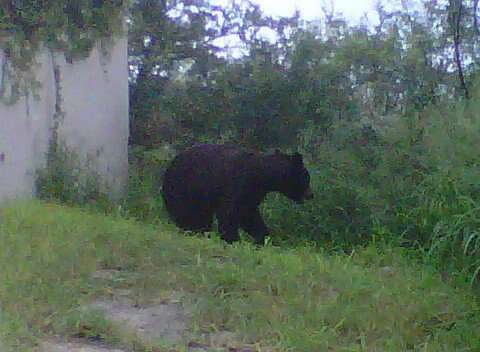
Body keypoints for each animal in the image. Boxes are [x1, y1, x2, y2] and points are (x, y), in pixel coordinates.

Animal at [161, 144, 314, 243]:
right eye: (307, 177)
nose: (311, 194)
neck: (261, 176)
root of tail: (167, 170)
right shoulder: (237, 183)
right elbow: (229, 212)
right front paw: (233, 239)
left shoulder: (252, 193)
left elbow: (248, 214)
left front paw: (263, 237)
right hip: (184, 189)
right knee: (190, 215)